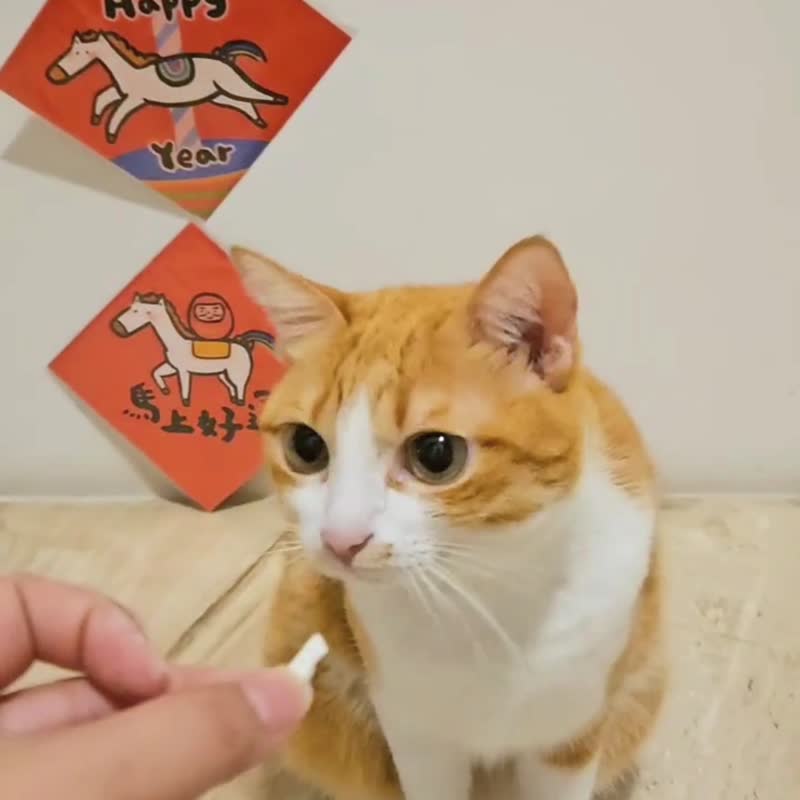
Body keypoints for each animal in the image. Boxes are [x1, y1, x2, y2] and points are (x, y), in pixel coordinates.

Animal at [46, 30, 289, 144]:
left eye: (79, 52)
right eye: (71, 50)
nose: (53, 74)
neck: (130, 70)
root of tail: (223, 58)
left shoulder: (134, 99)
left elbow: (117, 114)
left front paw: (111, 136)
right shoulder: (120, 92)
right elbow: (102, 98)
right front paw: (96, 120)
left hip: (233, 86)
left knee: (257, 95)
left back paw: (280, 101)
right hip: (218, 96)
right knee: (245, 104)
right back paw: (260, 121)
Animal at [111, 292, 275, 407]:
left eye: (136, 311)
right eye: (131, 308)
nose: (116, 327)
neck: (176, 343)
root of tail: (244, 344)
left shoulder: (183, 371)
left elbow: (184, 388)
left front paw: (185, 403)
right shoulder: (171, 366)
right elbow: (156, 373)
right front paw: (165, 390)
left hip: (237, 374)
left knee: (240, 386)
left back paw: (240, 403)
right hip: (223, 375)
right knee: (232, 387)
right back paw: (233, 400)